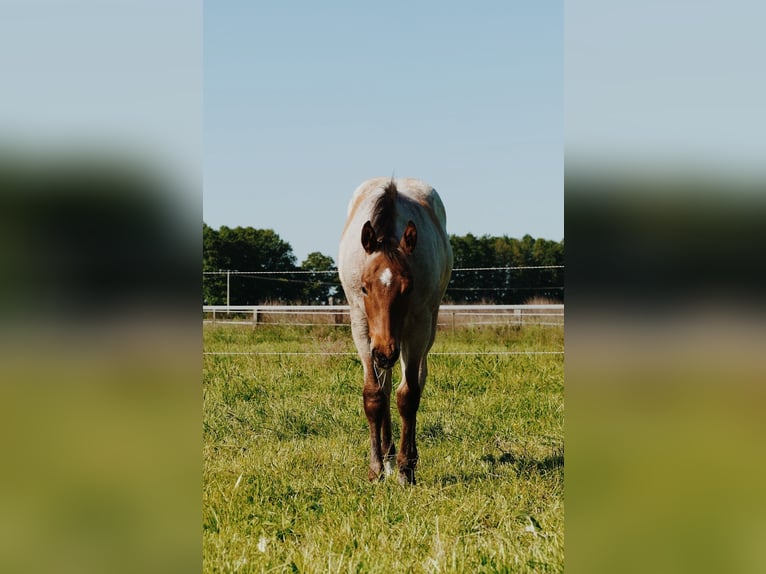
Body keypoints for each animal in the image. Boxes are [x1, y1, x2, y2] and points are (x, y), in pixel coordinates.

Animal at [338, 177, 453, 485]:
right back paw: (388, 457)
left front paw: (405, 470)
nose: (385, 352)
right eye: (364, 287)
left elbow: (408, 396)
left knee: (416, 380)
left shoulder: (417, 327)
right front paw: (376, 468)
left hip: (420, 332)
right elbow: (374, 395)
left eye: (408, 288)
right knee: (386, 386)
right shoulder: (362, 327)